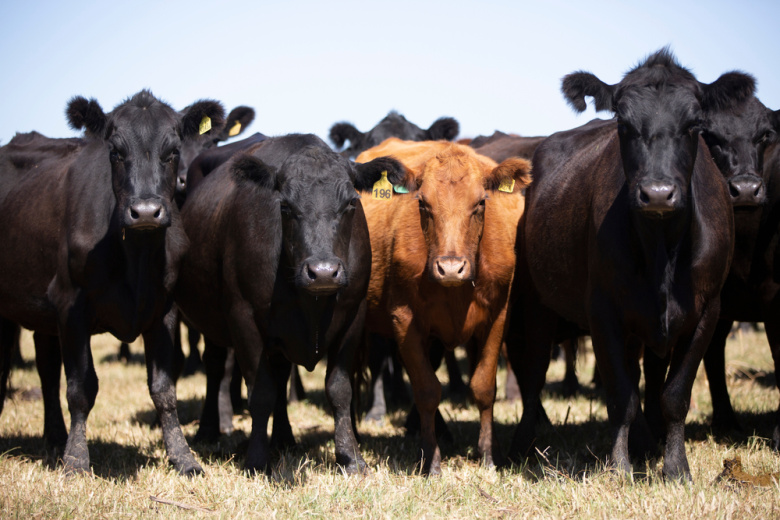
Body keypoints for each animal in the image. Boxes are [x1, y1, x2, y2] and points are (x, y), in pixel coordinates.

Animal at [0, 90, 225, 475]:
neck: (136, 256)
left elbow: (164, 388)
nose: (146, 211)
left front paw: (183, 457)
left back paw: (54, 439)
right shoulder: (70, 305)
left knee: (46, 371)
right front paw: (76, 461)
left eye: (173, 151)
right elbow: (80, 389)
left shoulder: (164, 308)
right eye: (116, 152)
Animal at [173, 133, 406, 474]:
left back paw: (284, 438)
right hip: (211, 322)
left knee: (281, 375)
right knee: (215, 367)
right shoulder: (243, 318)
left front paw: (350, 456)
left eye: (351, 202)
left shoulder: (353, 316)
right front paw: (256, 459)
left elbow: (339, 389)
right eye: (284, 205)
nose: (323, 272)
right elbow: (261, 393)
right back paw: (208, 430)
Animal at [358, 137, 532, 475]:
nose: (451, 268)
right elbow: (427, 390)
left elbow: (483, 387)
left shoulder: (498, 317)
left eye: (480, 203)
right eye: (423, 204)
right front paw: (432, 460)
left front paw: (488, 456)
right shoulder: (404, 320)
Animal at [505, 48, 755, 481]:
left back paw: (646, 442)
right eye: (622, 124)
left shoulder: (707, 311)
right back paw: (523, 444)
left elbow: (673, 395)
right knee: (534, 375)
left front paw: (675, 467)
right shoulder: (603, 310)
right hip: (537, 303)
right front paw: (620, 468)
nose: (657, 193)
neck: (661, 252)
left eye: (695, 125)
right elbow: (621, 395)